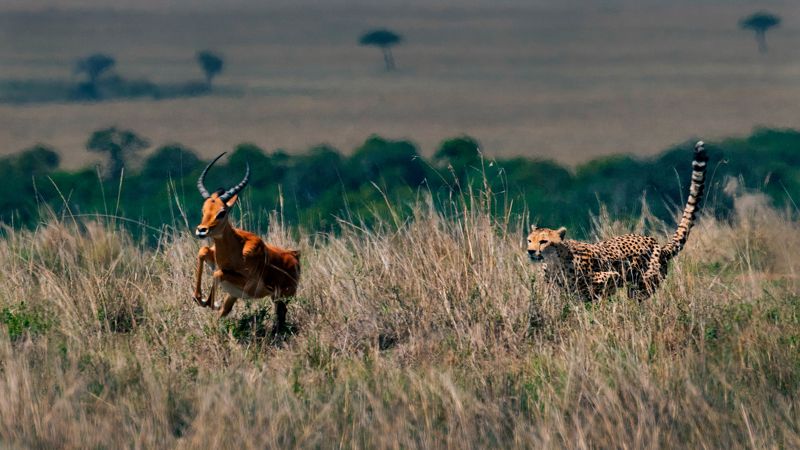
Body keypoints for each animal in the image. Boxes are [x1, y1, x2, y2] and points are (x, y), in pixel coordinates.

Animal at [192, 153, 300, 332]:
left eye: (222, 212)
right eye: (203, 210)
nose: (202, 230)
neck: (236, 251)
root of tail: (295, 257)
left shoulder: (247, 285)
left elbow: (217, 273)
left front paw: (211, 302)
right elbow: (203, 251)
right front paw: (199, 299)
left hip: (278, 296)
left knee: (281, 313)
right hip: (236, 296)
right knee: (225, 311)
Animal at [527, 141, 708, 301]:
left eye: (543, 241)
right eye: (529, 240)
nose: (530, 251)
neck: (554, 261)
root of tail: (658, 245)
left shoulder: (610, 277)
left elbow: (594, 294)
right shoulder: (555, 289)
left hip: (642, 285)